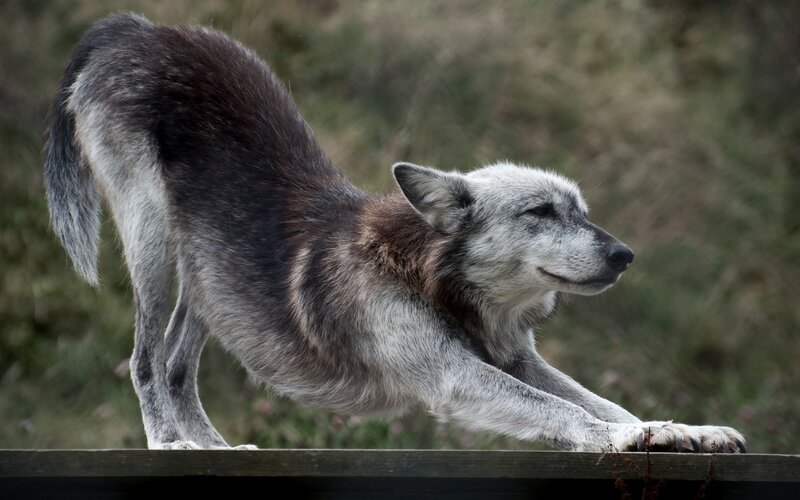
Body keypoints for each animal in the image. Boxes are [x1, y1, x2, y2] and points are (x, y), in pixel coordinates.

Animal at [44, 13, 745, 452]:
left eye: (580, 210)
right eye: (541, 213)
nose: (625, 255)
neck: (431, 279)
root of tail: (141, 29)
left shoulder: (519, 360)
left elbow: (602, 401)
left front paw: (679, 430)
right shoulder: (456, 377)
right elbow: (568, 411)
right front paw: (623, 439)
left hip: (207, 277)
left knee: (174, 367)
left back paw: (216, 449)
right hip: (154, 247)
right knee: (144, 361)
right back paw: (170, 443)